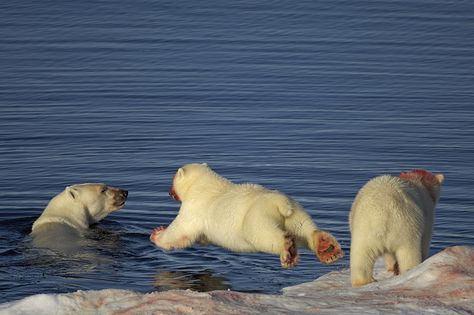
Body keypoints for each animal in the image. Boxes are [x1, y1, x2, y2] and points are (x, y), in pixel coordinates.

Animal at [150, 163, 342, 270]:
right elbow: (201, 237)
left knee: (265, 235)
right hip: (295, 211)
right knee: (303, 228)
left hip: (256, 216)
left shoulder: (195, 206)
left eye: (172, 179)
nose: (169, 192)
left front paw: (157, 233)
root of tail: (279, 203)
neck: (203, 184)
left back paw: (287, 250)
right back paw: (326, 248)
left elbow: (181, 230)